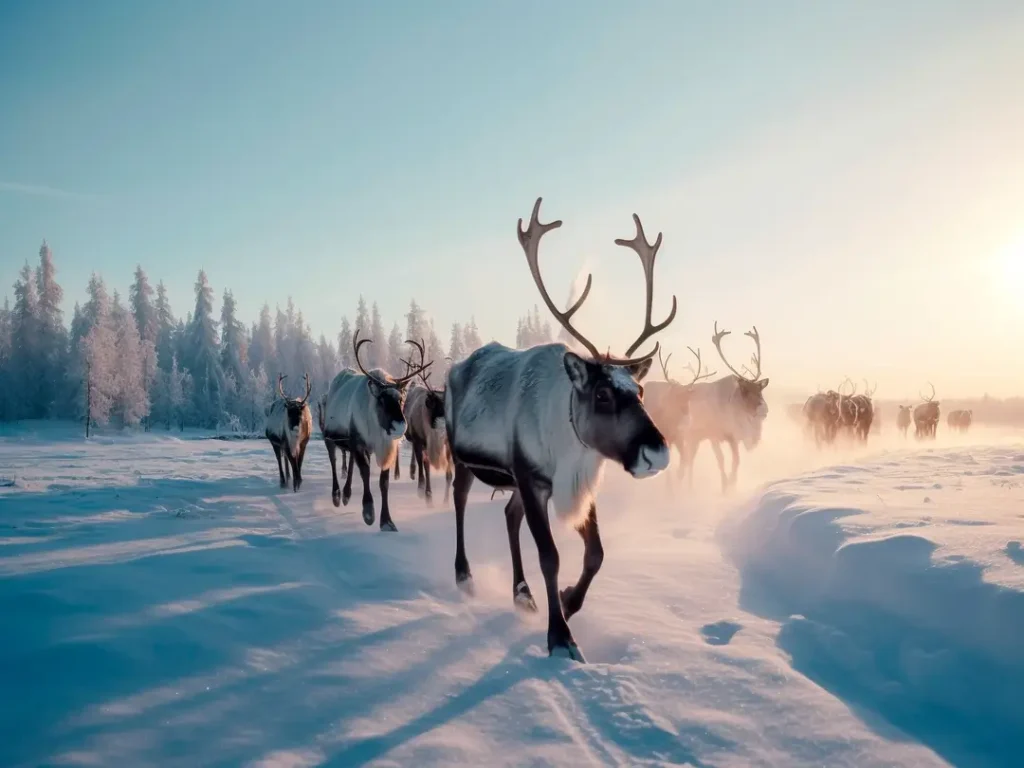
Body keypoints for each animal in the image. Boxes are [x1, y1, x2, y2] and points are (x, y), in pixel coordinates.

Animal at [320, 330, 432, 531]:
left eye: (401, 399)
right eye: (381, 399)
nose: (400, 426)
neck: (376, 430)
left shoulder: (384, 448)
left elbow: (384, 482)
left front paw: (387, 521)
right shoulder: (359, 441)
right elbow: (365, 472)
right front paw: (368, 512)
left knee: (350, 462)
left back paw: (347, 494)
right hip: (330, 437)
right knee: (334, 461)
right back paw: (337, 495)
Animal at [402, 340, 453, 505]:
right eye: (437, 406)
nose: (445, 429)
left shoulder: (447, 445)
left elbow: (449, 473)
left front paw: (446, 501)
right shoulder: (420, 440)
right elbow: (425, 467)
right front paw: (427, 495)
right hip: (413, 435)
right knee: (418, 460)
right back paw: (415, 478)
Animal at [445, 197, 675, 662]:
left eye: (640, 389)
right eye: (602, 393)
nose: (656, 452)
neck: (569, 446)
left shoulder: (574, 484)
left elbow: (596, 553)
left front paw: (567, 601)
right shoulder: (532, 478)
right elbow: (550, 555)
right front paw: (560, 637)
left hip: (513, 482)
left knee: (509, 515)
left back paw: (522, 594)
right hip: (461, 458)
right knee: (459, 502)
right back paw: (464, 575)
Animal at [677, 322, 769, 492]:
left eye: (760, 389)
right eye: (744, 390)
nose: (763, 409)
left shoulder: (735, 438)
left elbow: (736, 461)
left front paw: (732, 483)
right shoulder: (715, 436)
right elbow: (722, 460)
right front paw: (726, 486)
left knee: (690, 459)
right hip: (691, 435)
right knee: (688, 460)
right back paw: (687, 486)